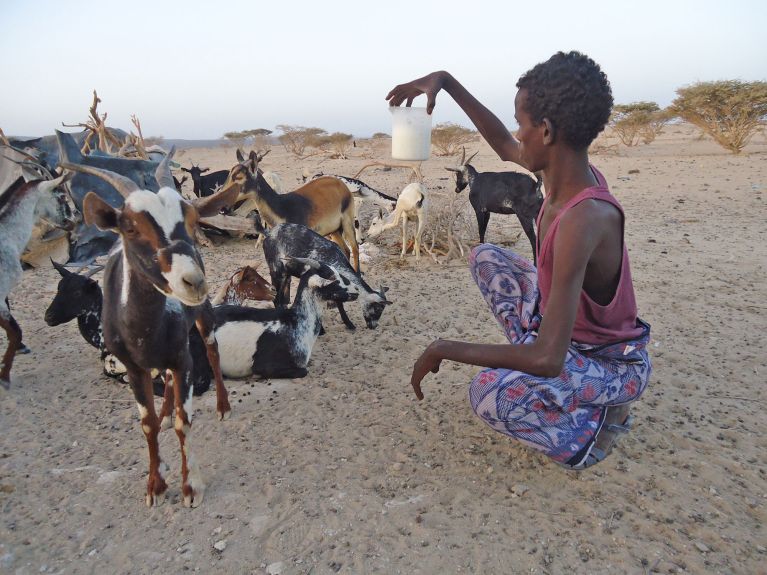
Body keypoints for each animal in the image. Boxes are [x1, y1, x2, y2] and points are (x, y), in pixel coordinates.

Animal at [61, 152, 237, 508]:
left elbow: (185, 421)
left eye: (193, 221)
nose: (193, 282)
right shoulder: (133, 368)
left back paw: (222, 407)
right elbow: (147, 424)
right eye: (129, 227)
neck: (141, 328)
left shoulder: (184, 359)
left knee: (211, 351)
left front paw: (190, 487)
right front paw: (155, 485)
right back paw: (166, 411)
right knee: (165, 380)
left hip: (202, 318)